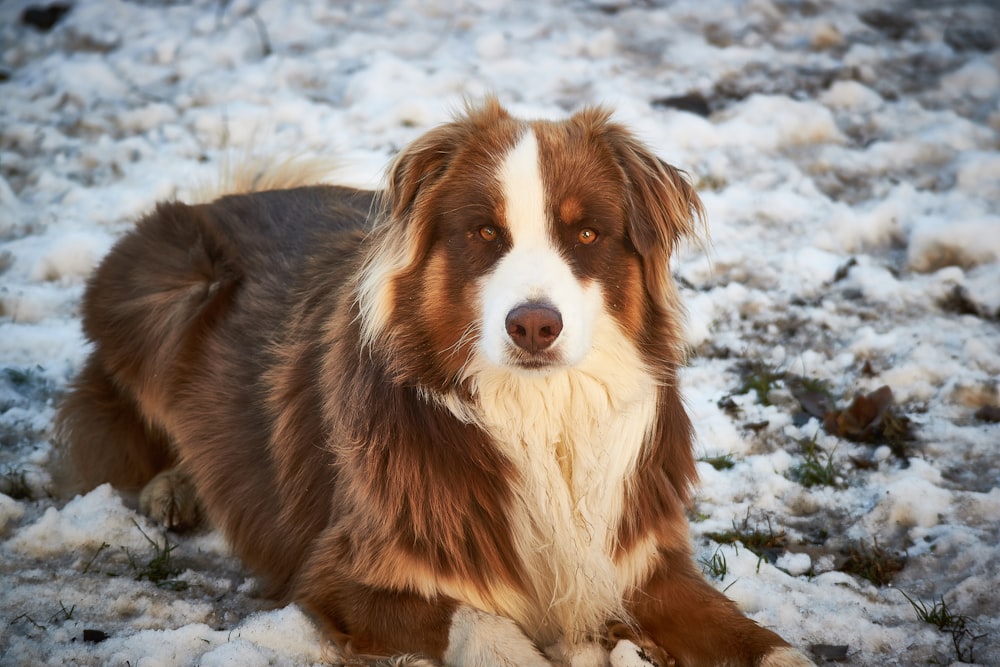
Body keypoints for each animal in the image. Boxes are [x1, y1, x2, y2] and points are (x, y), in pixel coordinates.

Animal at [56, 99, 812, 667]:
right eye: (485, 233)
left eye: (587, 235)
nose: (533, 326)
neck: (539, 419)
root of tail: (236, 194)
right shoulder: (342, 574)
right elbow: (485, 626)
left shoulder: (647, 563)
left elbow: (761, 641)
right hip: (172, 284)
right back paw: (173, 487)